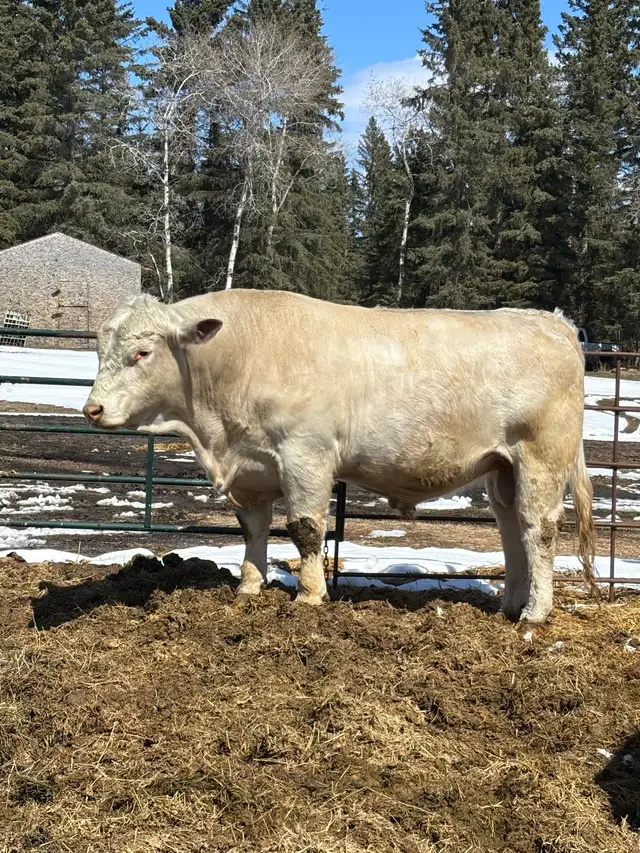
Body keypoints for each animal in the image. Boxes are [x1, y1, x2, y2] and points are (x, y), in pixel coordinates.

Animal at [83, 289, 596, 624]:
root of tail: (551, 321)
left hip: (541, 456)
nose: (93, 409)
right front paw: (249, 588)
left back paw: (535, 614)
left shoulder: (304, 454)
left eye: (142, 353)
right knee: (510, 530)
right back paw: (509, 605)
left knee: (538, 528)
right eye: (100, 349)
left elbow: (306, 529)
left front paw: (310, 596)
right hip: (502, 468)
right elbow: (253, 530)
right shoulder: (251, 469)